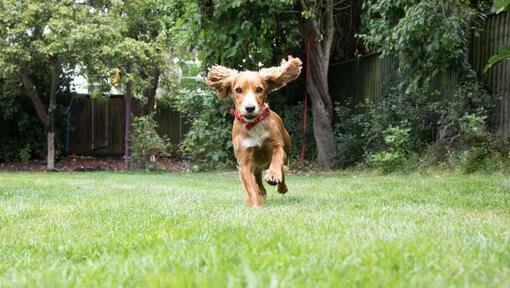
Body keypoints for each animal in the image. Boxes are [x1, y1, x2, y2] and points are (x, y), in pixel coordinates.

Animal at [205, 55, 300, 206]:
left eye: (259, 89)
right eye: (238, 90)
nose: (250, 108)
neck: (253, 124)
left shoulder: (278, 145)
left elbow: (277, 156)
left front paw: (273, 175)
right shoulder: (244, 161)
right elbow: (250, 186)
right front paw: (256, 204)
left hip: (286, 149)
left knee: (283, 169)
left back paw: (281, 186)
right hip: (256, 167)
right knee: (259, 182)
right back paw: (262, 192)